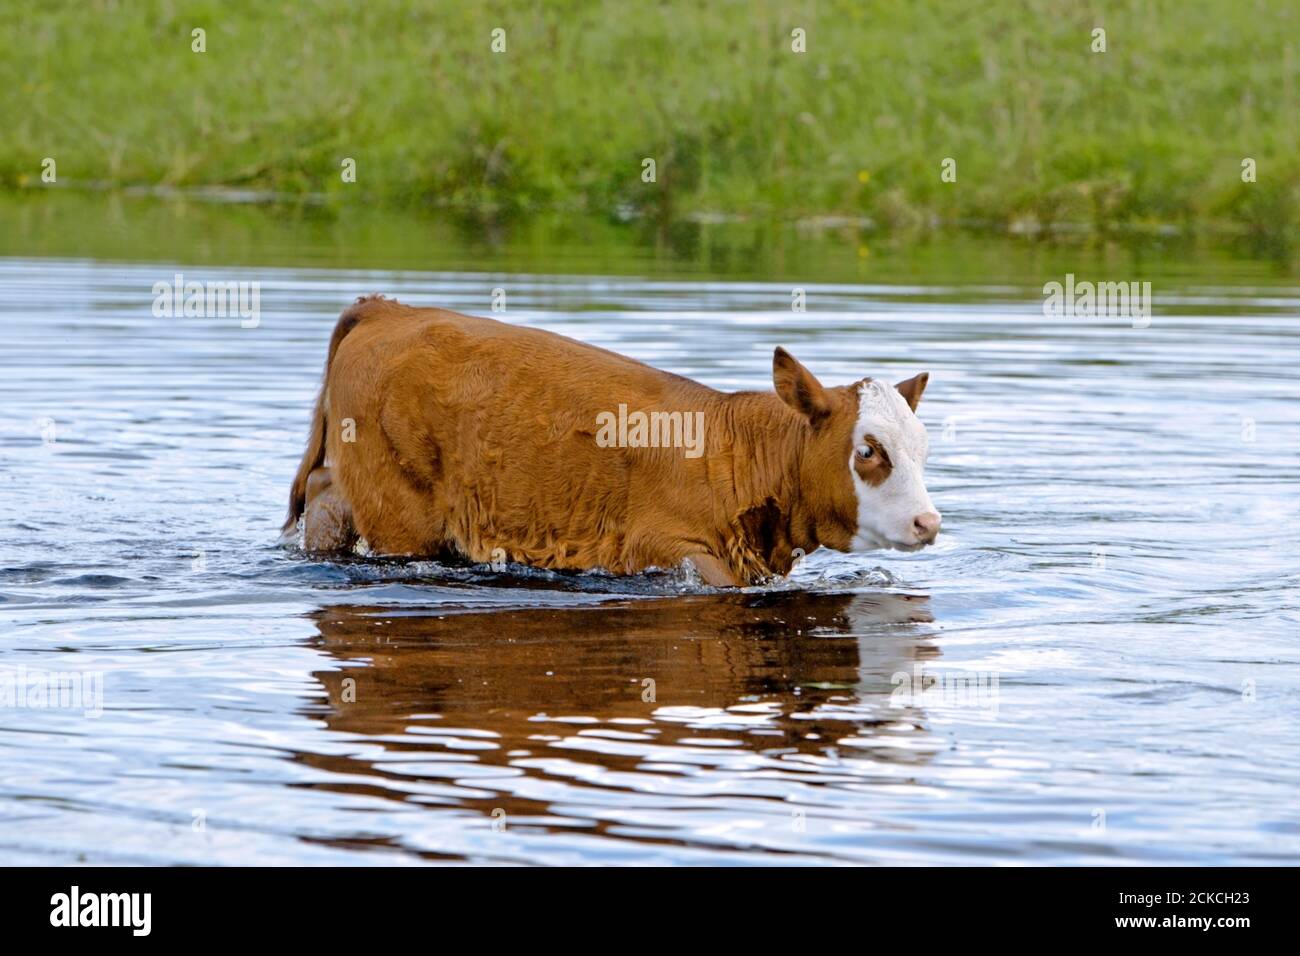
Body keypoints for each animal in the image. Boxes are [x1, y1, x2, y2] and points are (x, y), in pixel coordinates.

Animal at [284, 295, 941, 587]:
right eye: (868, 450)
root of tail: (389, 309)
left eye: (923, 448)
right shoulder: (656, 545)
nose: (928, 523)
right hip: (401, 513)